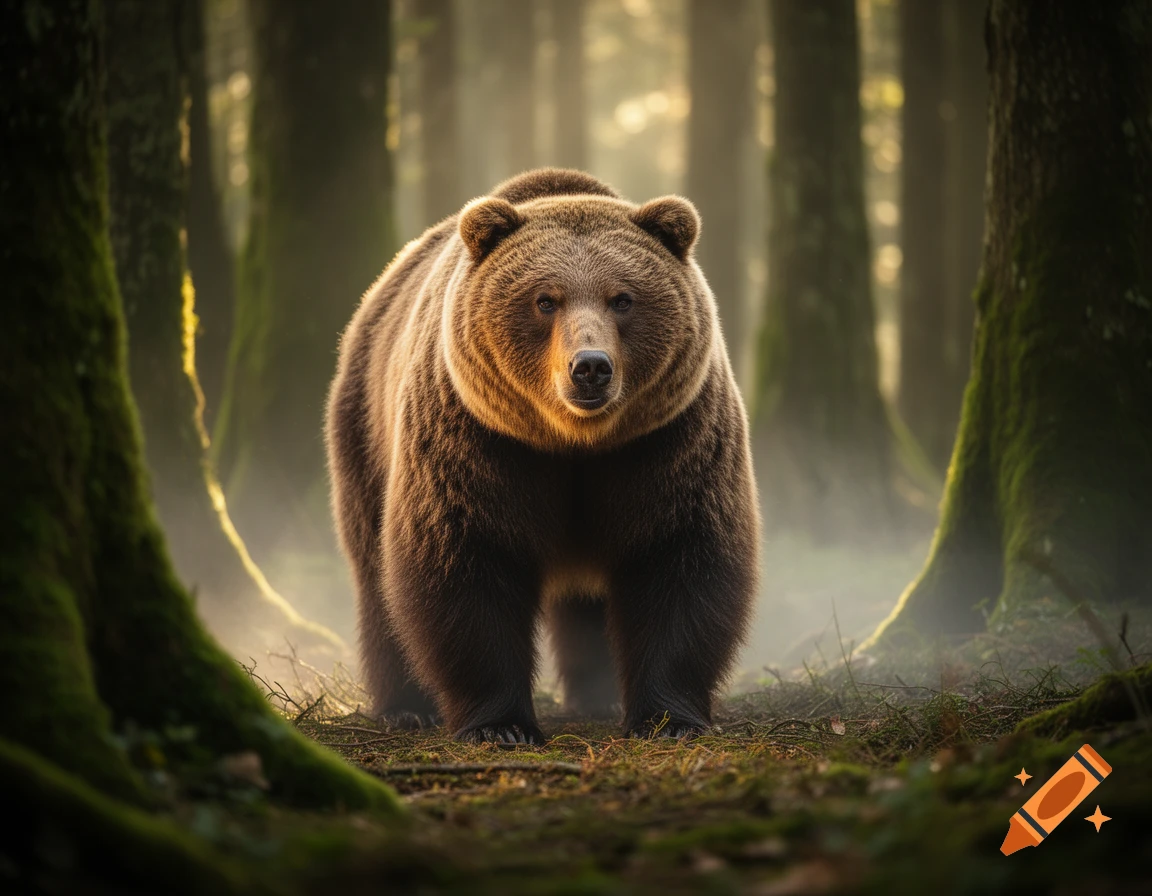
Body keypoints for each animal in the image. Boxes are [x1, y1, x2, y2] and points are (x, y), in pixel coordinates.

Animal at [326, 168, 760, 743]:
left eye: (622, 298)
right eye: (545, 300)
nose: (591, 367)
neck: (573, 442)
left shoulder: (668, 441)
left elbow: (681, 559)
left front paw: (668, 720)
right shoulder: (477, 440)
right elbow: (466, 563)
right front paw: (500, 725)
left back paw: (596, 694)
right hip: (365, 431)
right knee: (376, 576)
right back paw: (405, 706)